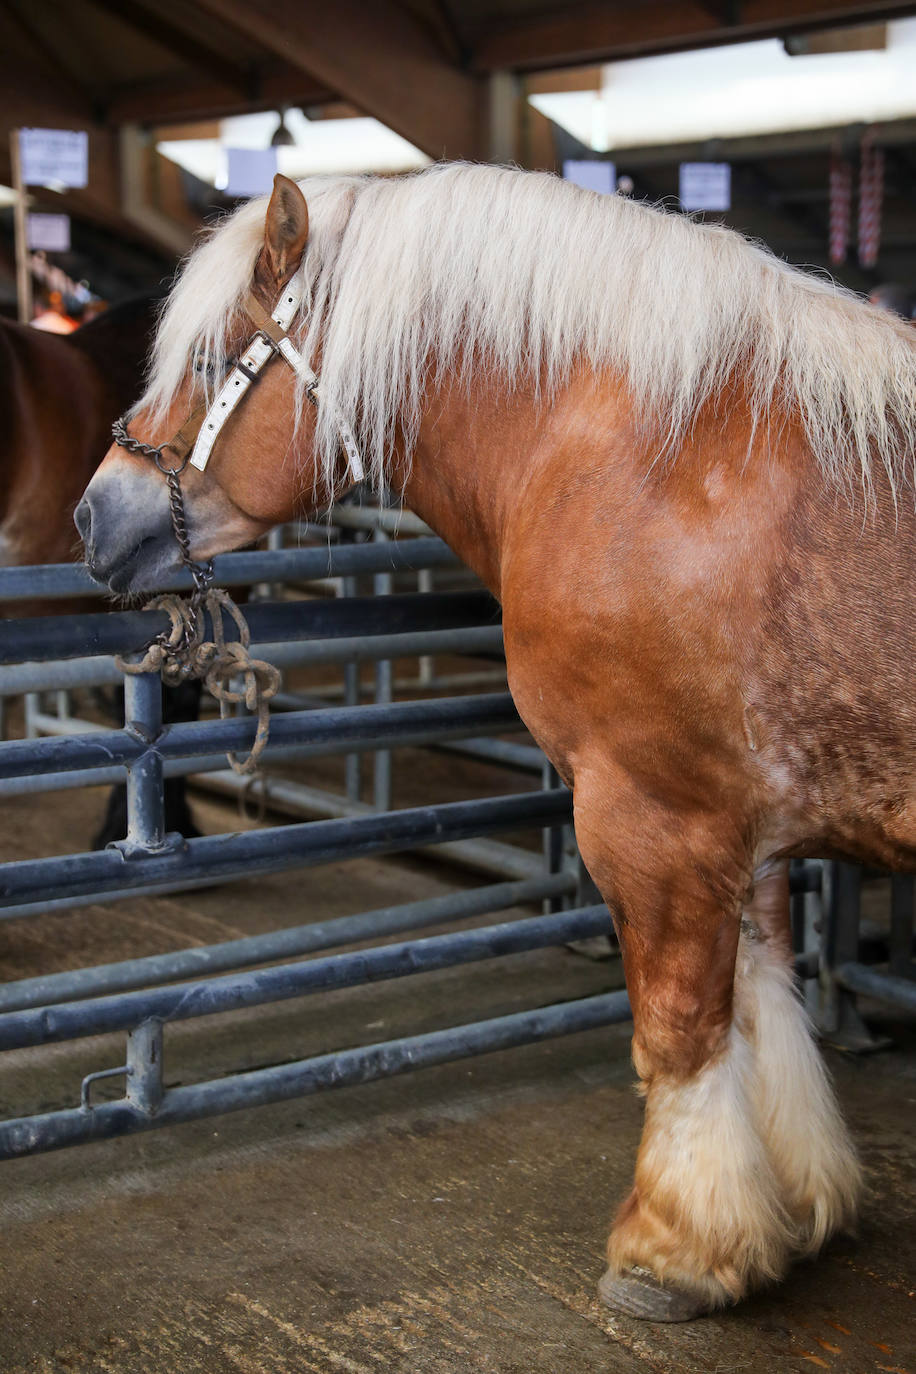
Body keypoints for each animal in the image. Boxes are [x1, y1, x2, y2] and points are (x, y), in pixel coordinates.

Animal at [75, 169, 916, 1319]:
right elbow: (763, 1000)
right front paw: (796, 1200)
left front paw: (674, 1250)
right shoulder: (744, 826)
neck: (663, 459)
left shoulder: (655, 820)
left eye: (206, 362)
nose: (91, 517)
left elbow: (680, 1029)